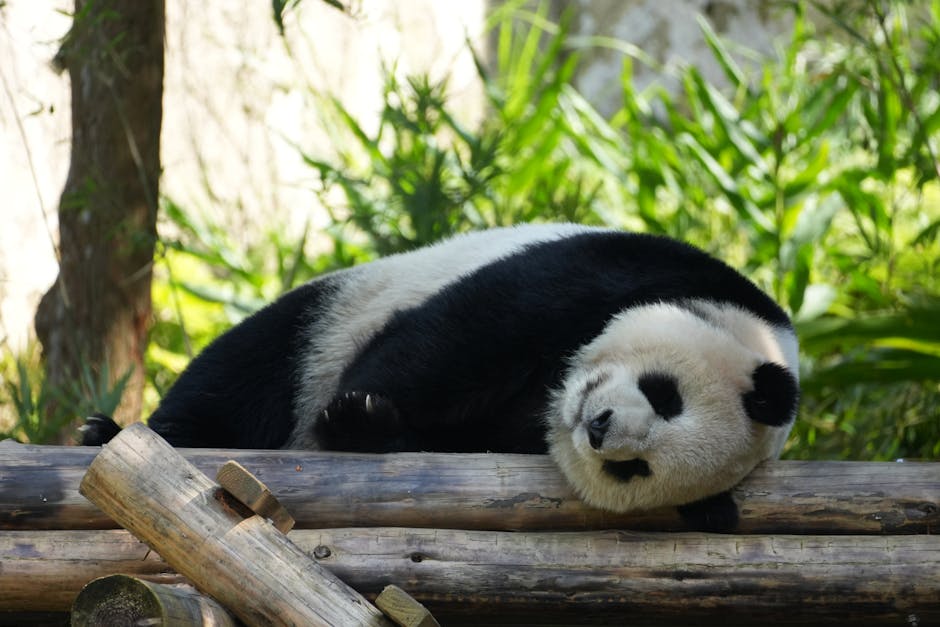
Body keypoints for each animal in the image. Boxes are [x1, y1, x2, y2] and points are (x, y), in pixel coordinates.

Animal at [83, 223, 799, 525]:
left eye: (635, 470)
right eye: (664, 394)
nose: (599, 429)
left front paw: (366, 427)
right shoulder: (623, 271)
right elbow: (466, 334)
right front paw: (354, 417)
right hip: (334, 310)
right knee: (253, 367)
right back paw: (113, 432)